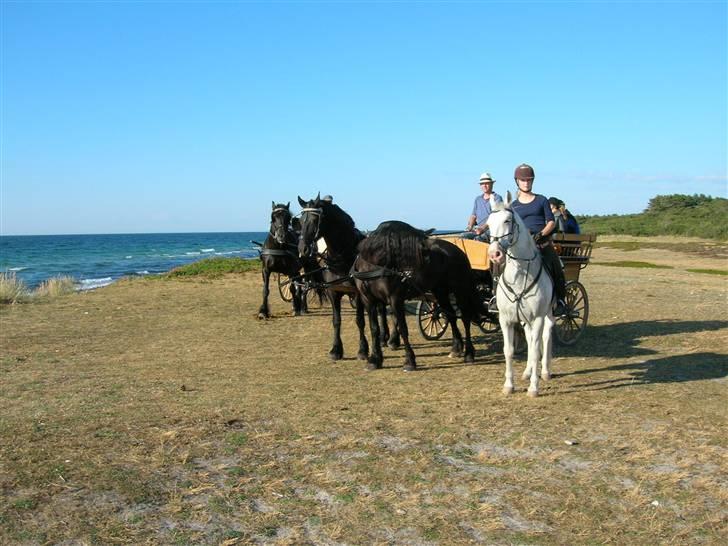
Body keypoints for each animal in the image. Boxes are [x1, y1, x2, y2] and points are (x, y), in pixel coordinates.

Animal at [296, 196, 396, 362]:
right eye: (301, 220)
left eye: (315, 220)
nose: (302, 248)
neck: (342, 257)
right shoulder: (333, 292)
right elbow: (336, 321)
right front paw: (336, 349)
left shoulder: (358, 294)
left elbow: (360, 321)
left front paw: (363, 350)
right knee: (381, 309)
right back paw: (384, 338)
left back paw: (391, 339)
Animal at [486, 192, 556, 396]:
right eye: (488, 223)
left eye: (507, 220)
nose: (494, 254)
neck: (520, 275)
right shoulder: (506, 319)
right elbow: (509, 350)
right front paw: (509, 385)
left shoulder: (538, 317)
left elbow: (536, 347)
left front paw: (534, 387)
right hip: (526, 319)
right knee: (531, 339)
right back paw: (528, 371)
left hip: (548, 313)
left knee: (545, 335)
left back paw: (545, 371)